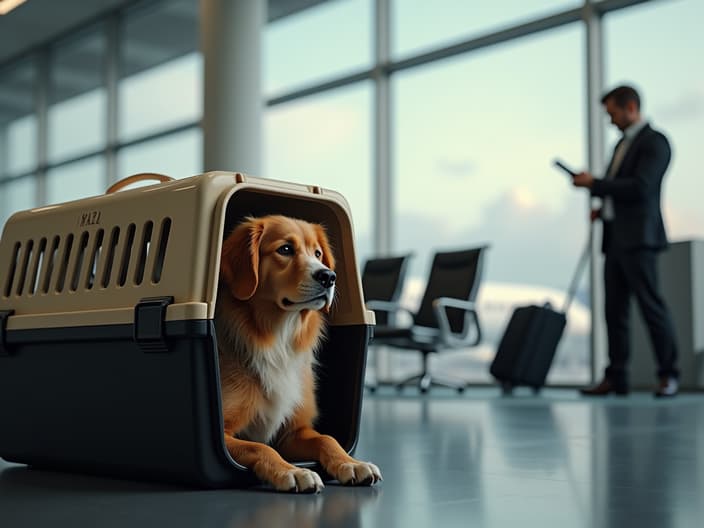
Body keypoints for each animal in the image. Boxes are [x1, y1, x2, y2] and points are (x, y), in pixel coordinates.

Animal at [214, 212, 382, 492]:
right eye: (285, 249)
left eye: (317, 253)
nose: (329, 276)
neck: (279, 337)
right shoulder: (223, 435)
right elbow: (260, 447)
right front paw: (292, 471)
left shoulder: (293, 432)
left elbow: (327, 438)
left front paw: (351, 463)